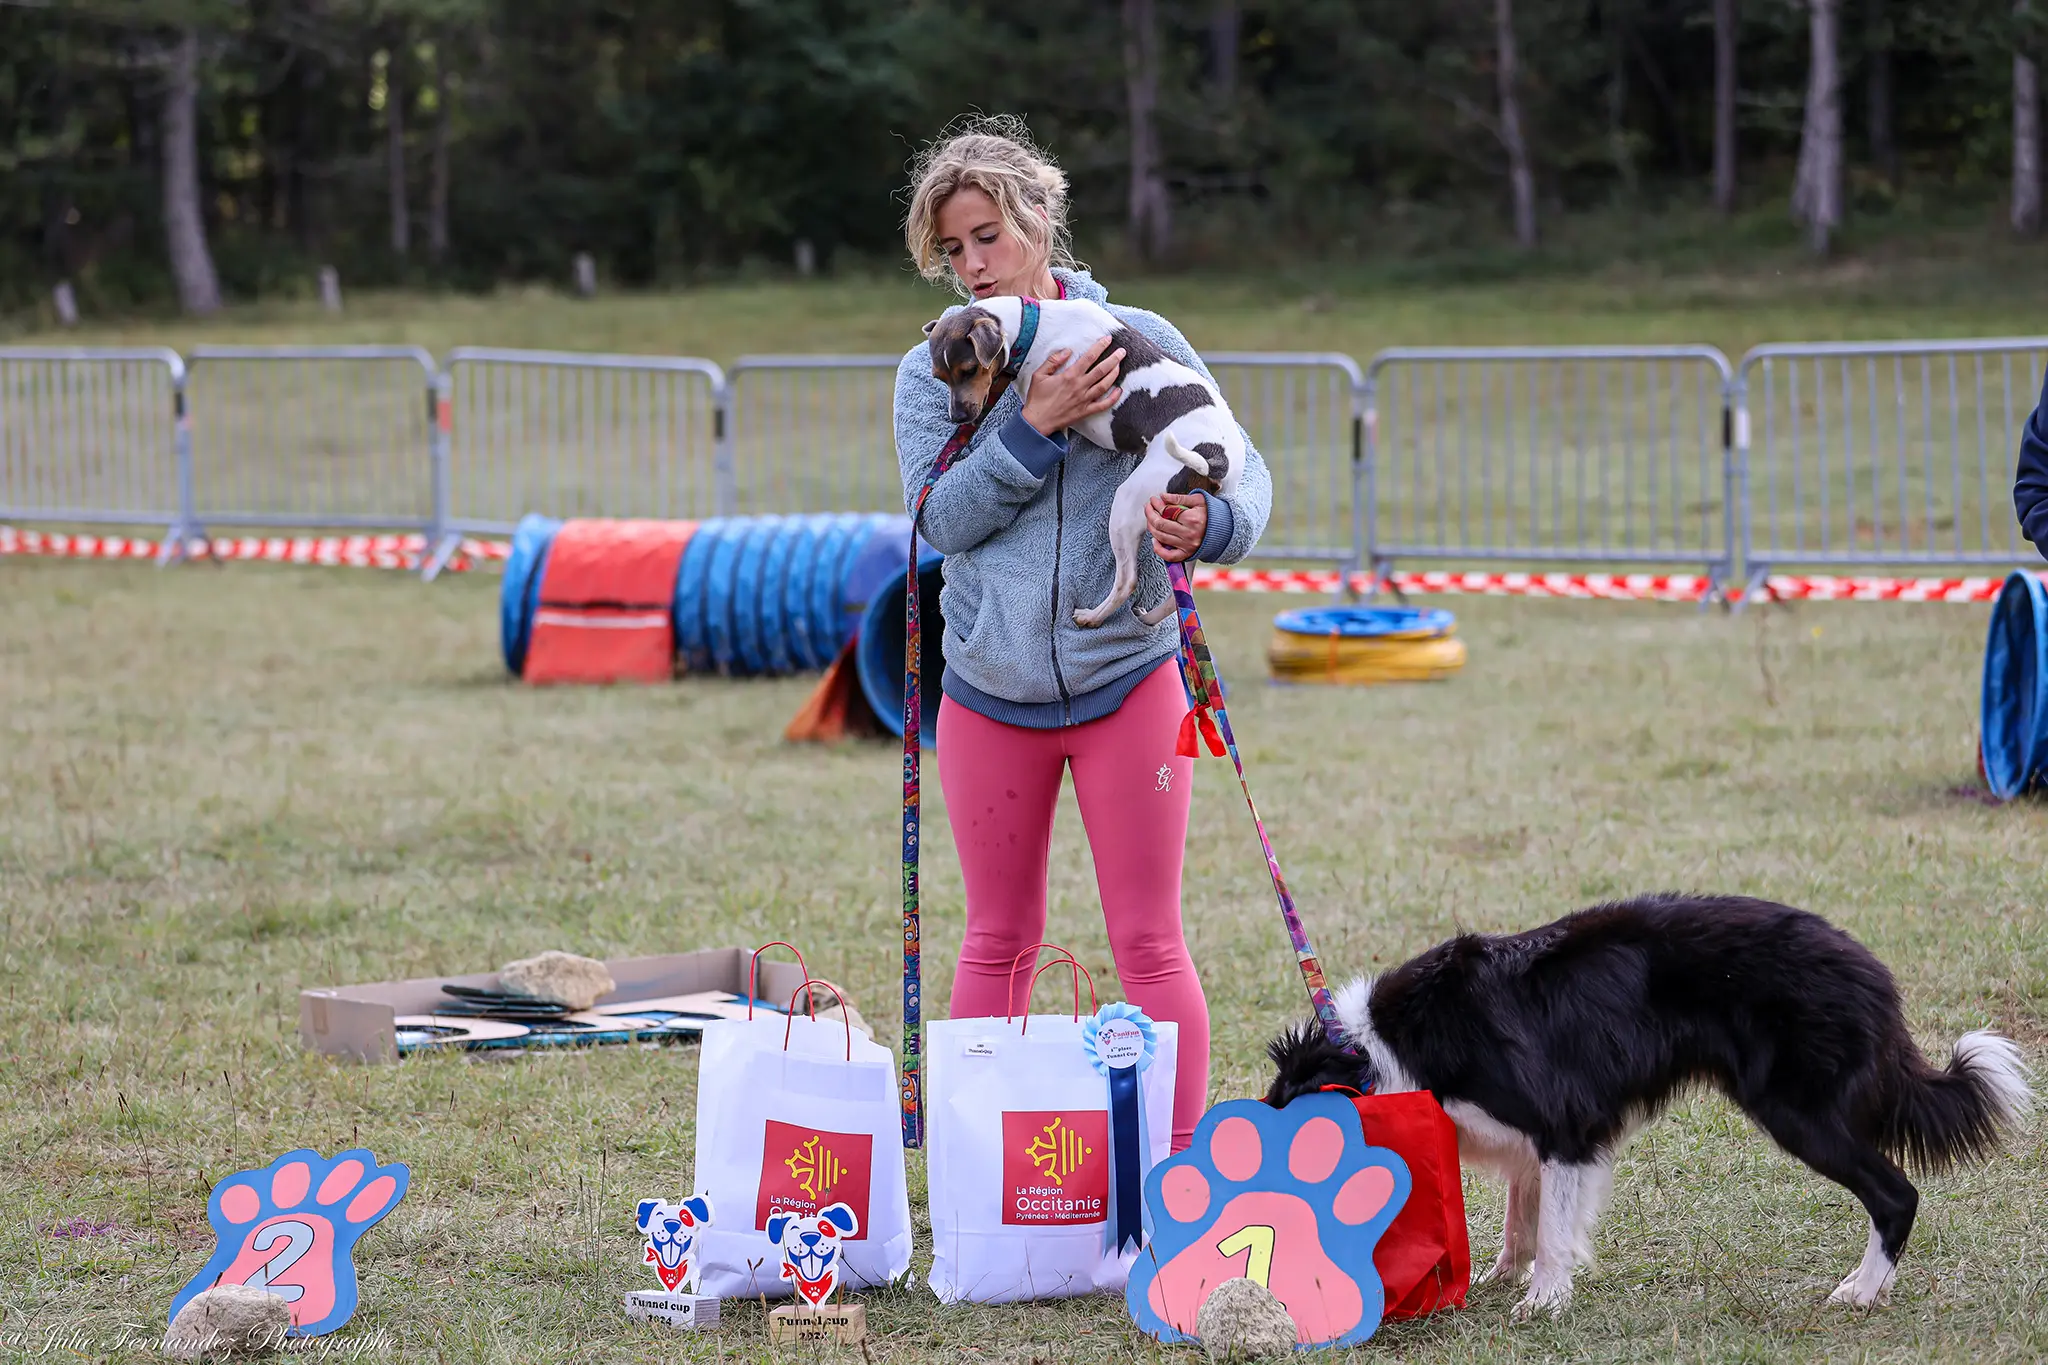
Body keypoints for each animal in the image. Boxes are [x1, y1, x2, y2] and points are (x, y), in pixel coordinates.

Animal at [933, 298, 1245, 630]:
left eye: (969, 370)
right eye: (939, 377)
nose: (958, 417)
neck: (1033, 327)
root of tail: (1216, 459)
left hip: (1127, 505)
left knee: (1127, 581)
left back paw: (1092, 617)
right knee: (1182, 595)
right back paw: (1149, 617)